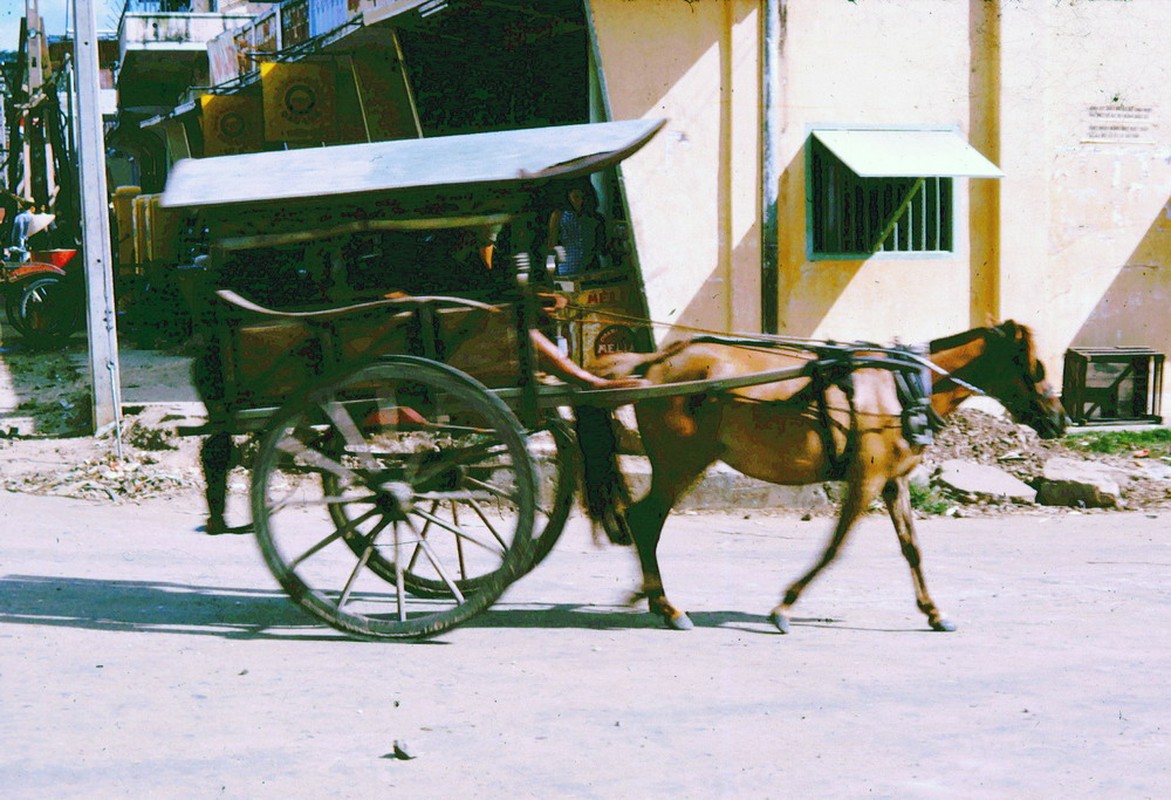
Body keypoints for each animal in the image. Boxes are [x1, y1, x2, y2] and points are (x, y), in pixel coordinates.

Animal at [578, 318, 1072, 632]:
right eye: (1036, 367)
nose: (1061, 420)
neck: (904, 387)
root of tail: (654, 365)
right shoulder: (865, 481)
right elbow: (835, 548)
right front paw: (784, 607)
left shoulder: (893, 482)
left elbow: (912, 549)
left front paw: (933, 612)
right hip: (681, 464)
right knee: (645, 520)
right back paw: (666, 606)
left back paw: (647, 595)